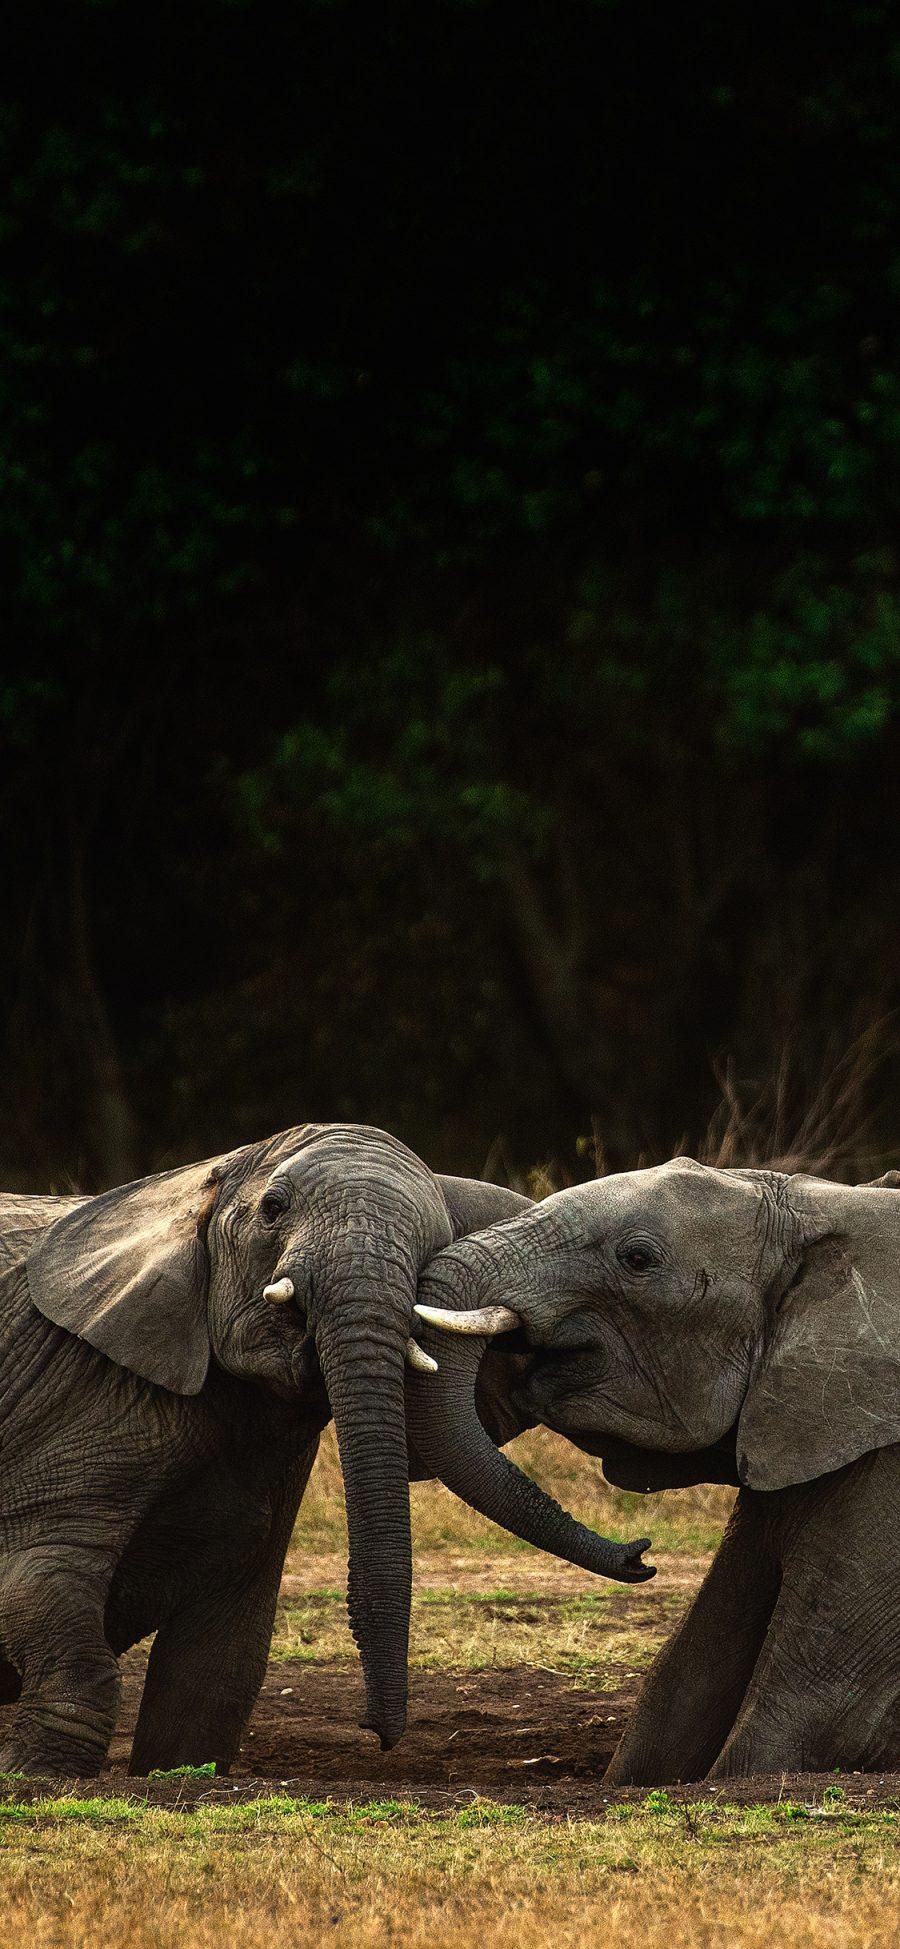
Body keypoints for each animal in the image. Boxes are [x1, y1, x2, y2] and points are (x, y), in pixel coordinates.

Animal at [0, 1130, 650, 1785]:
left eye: (436, 1237)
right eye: (273, 1208)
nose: (641, 1555)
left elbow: (218, 1664)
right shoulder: (75, 1387)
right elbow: (36, 1582)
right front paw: (39, 1776)